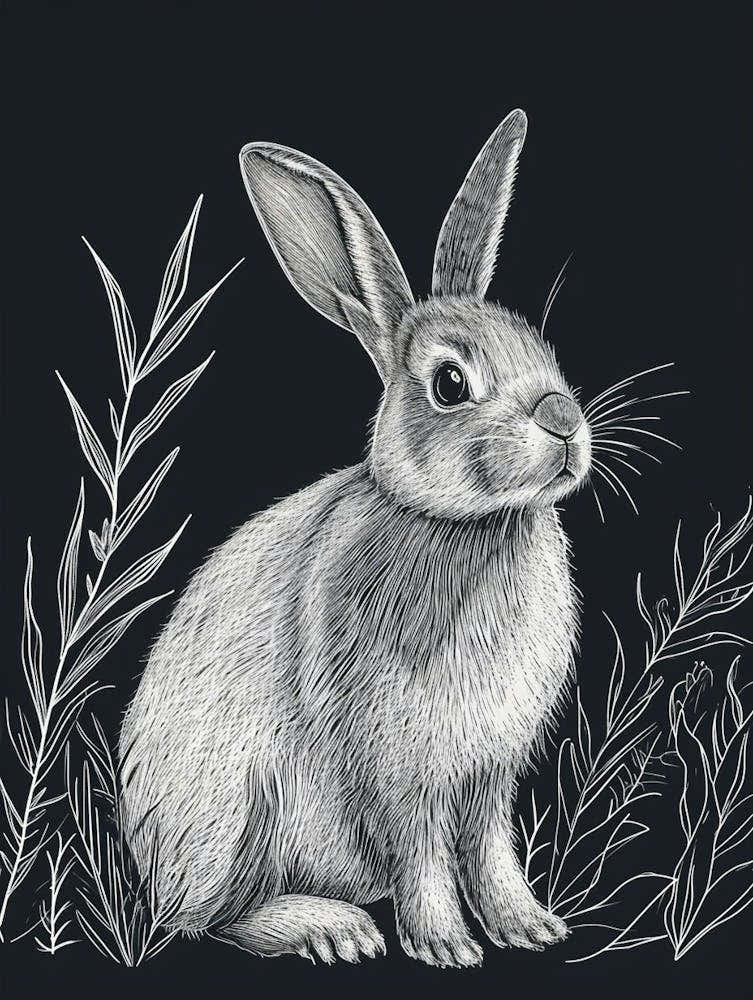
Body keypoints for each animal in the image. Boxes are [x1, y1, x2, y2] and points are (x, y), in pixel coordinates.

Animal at [119, 108, 592, 968]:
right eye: (449, 384)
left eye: (537, 344)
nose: (562, 421)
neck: (465, 525)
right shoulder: (400, 764)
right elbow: (424, 855)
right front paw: (444, 945)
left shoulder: (488, 771)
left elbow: (489, 851)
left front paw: (528, 926)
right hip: (237, 814)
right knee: (208, 920)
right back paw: (334, 929)